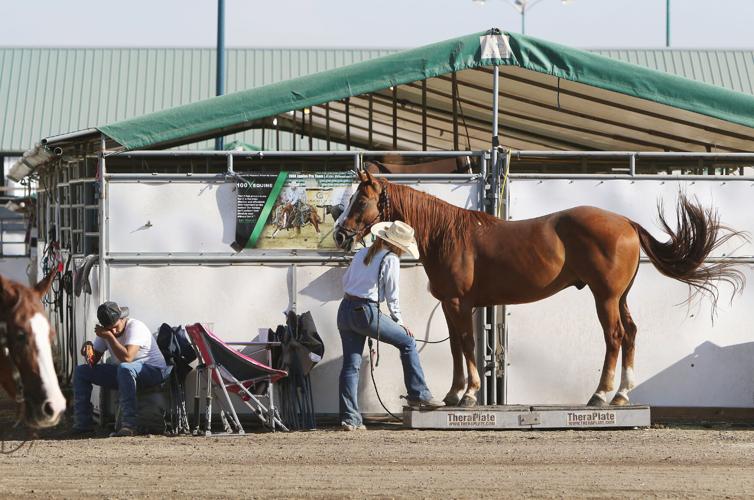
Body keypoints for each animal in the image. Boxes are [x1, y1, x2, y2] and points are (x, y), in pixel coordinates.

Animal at [334, 169, 745, 408]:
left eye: (361, 199)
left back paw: (600, 395)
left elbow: (465, 345)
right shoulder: (454, 306)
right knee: (630, 333)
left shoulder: (459, 304)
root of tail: (626, 222)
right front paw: (453, 394)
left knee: (613, 337)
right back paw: (622, 395)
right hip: (621, 297)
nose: (340, 233)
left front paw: (468, 395)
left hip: (605, 297)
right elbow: (456, 348)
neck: (447, 234)